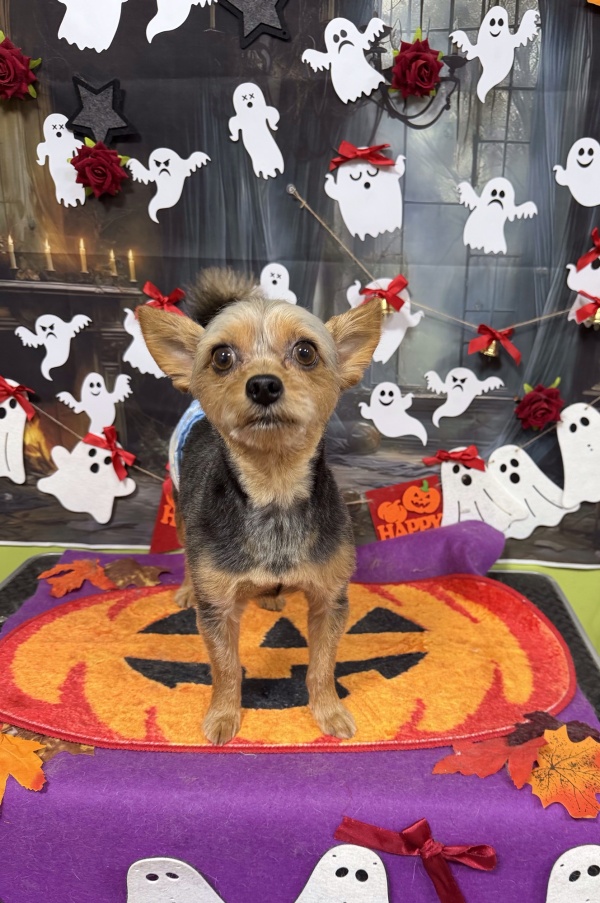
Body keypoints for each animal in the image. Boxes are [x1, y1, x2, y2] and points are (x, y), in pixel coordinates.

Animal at [138, 269, 382, 745]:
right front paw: (223, 716)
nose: (264, 384)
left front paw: (328, 712)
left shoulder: (330, 599)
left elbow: (321, 666)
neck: (275, 493)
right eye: (222, 357)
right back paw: (186, 589)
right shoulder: (217, 608)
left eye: (306, 351)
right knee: (187, 553)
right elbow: (226, 668)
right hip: (180, 510)